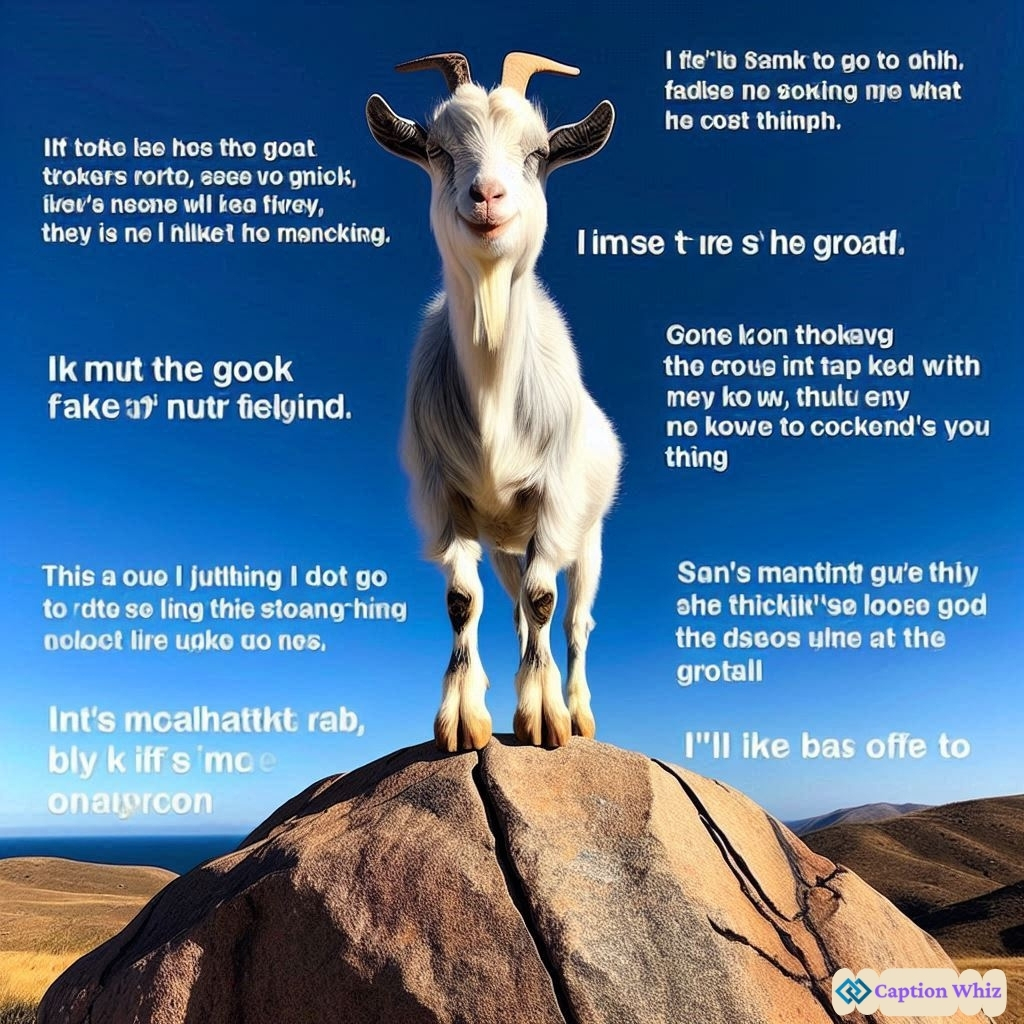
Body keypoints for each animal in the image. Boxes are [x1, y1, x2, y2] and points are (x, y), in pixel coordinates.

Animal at [366, 52, 621, 752]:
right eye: (437, 148)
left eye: (536, 154)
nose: (487, 196)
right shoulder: (442, 499)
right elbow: (463, 601)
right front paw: (463, 717)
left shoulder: (555, 500)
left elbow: (544, 602)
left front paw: (547, 718)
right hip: (508, 541)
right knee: (510, 608)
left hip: (587, 537)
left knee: (573, 618)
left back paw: (579, 709)